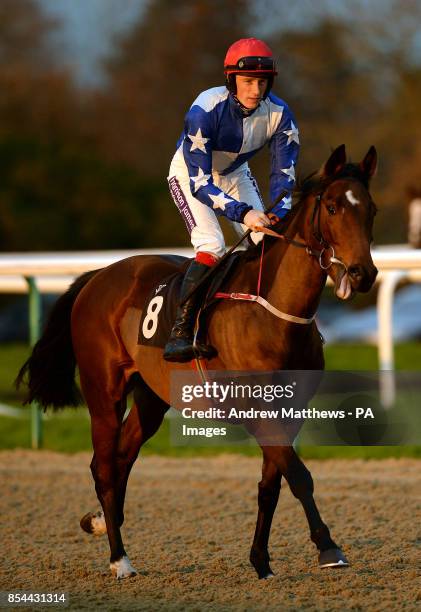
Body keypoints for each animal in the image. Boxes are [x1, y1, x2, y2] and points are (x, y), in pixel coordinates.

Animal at [16, 142, 378, 580]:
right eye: (333, 207)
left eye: (372, 210)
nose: (362, 273)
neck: (273, 314)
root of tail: (98, 276)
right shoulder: (254, 409)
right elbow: (298, 475)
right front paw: (328, 547)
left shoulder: (288, 410)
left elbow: (271, 485)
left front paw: (261, 561)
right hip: (104, 392)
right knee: (103, 466)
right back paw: (120, 559)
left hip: (152, 398)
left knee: (120, 459)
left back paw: (103, 520)